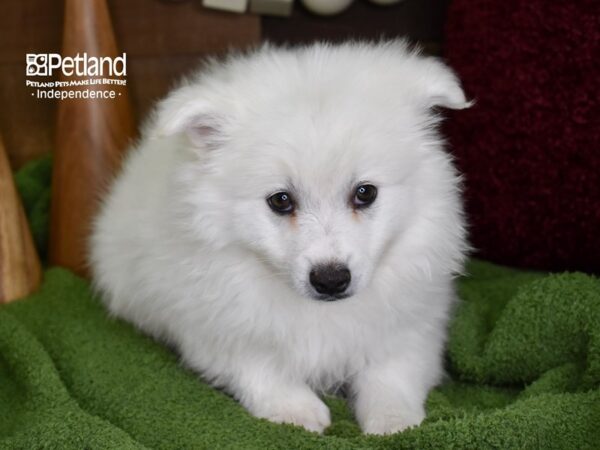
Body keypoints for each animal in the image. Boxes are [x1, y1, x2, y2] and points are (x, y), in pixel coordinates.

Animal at [91, 40, 472, 434]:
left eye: (365, 193)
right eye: (280, 200)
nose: (330, 279)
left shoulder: (414, 326)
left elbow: (392, 372)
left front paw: (394, 420)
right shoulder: (215, 327)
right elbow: (260, 366)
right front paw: (296, 412)